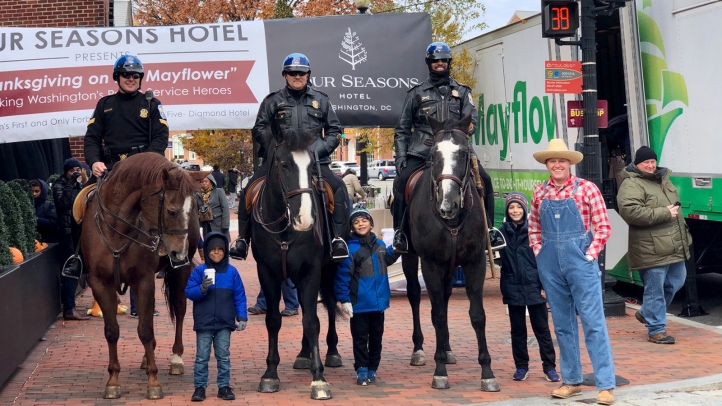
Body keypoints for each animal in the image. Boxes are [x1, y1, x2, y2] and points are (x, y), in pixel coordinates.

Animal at [80, 154, 207, 402]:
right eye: (171, 211)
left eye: (192, 209)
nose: (179, 253)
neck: (117, 229)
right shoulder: (100, 283)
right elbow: (112, 331)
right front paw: (113, 380)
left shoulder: (144, 280)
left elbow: (145, 330)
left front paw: (153, 382)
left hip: (180, 272)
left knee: (179, 308)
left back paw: (176, 359)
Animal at [250, 124, 346, 400]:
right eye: (283, 164)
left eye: (312, 167)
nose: (304, 218)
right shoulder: (266, 272)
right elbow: (273, 320)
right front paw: (270, 374)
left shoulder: (311, 271)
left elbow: (312, 322)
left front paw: (319, 379)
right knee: (306, 308)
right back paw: (304, 354)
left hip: (329, 269)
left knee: (329, 305)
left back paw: (331, 353)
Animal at [396, 114, 498, 390]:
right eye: (434, 154)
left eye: (463, 152)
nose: (447, 204)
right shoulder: (430, 263)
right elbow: (438, 314)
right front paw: (439, 371)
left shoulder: (475, 262)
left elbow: (478, 315)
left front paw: (487, 373)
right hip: (411, 258)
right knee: (416, 297)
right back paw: (420, 350)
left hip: (451, 266)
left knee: (445, 295)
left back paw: (448, 348)